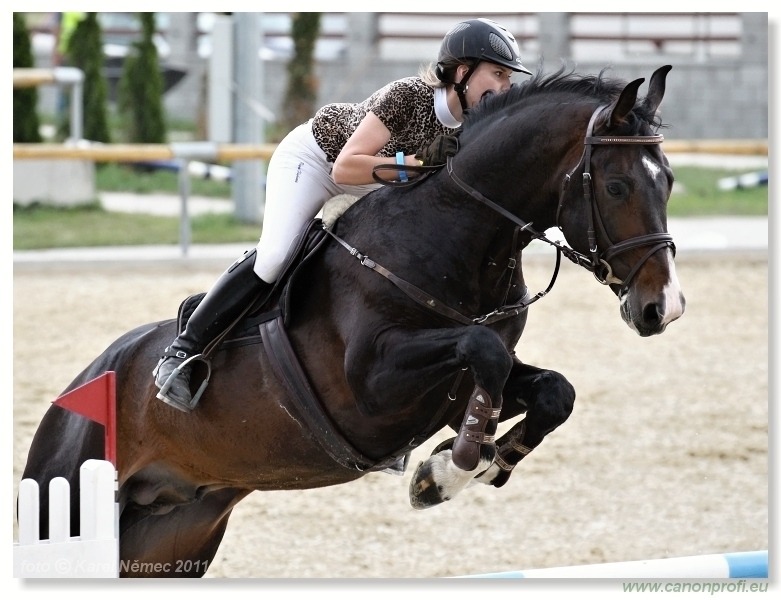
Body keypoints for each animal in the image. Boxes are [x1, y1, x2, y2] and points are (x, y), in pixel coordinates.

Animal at [21, 65, 684, 576]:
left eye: (670, 180)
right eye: (618, 186)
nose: (662, 308)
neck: (457, 234)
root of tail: (70, 395)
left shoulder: (459, 384)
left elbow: (551, 390)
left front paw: (475, 465)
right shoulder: (371, 385)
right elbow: (484, 352)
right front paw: (445, 473)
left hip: (170, 536)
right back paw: (176, 369)